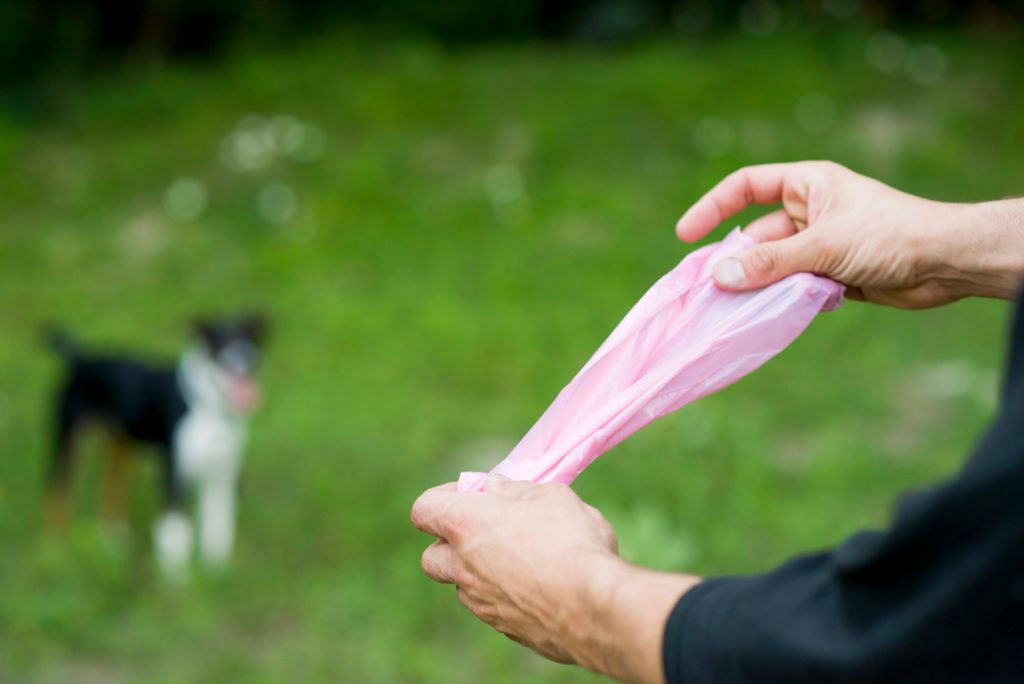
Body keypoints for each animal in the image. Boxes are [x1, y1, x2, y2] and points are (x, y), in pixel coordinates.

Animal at [45, 313, 268, 577]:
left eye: (249, 340)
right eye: (218, 341)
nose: (246, 359)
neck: (208, 410)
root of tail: (80, 360)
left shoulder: (222, 475)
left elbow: (218, 527)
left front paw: (217, 572)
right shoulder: (175, 474)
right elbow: (176, 531)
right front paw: (176, 580)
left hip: (122, 446)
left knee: (110, 489)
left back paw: (114, 541)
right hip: (70, 440)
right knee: (57, 493)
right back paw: (54, 549)